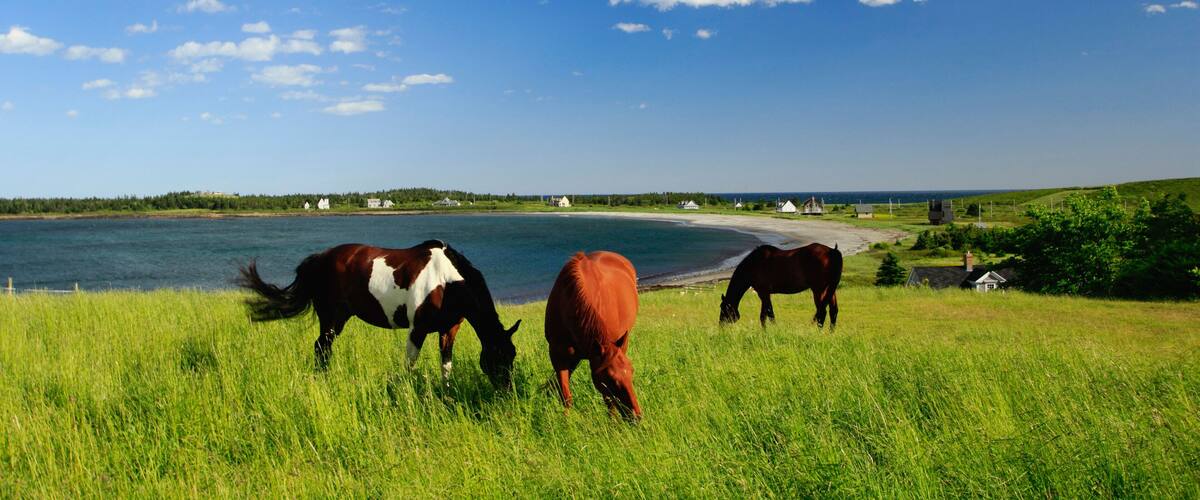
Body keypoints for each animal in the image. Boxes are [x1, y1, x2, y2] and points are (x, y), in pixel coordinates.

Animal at [236, 240, 521, 389]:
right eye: (497, 356)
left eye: (512, 356)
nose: (507, 390)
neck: (445, 281)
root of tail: (320, 258)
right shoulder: (417, 329)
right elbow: (410, 364)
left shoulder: (449, 329)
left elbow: (446, 364)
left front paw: (446, 392)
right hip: (331, 319)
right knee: (321, 347)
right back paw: (324, 379)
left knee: (321, 348)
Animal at [544, 251, 641, 420]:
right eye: (609, 379)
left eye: (632, 371)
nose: (636, 416)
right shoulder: (558, 355)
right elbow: (565, 394)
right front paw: (567, 421)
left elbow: (608, 399)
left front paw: (612, 422)